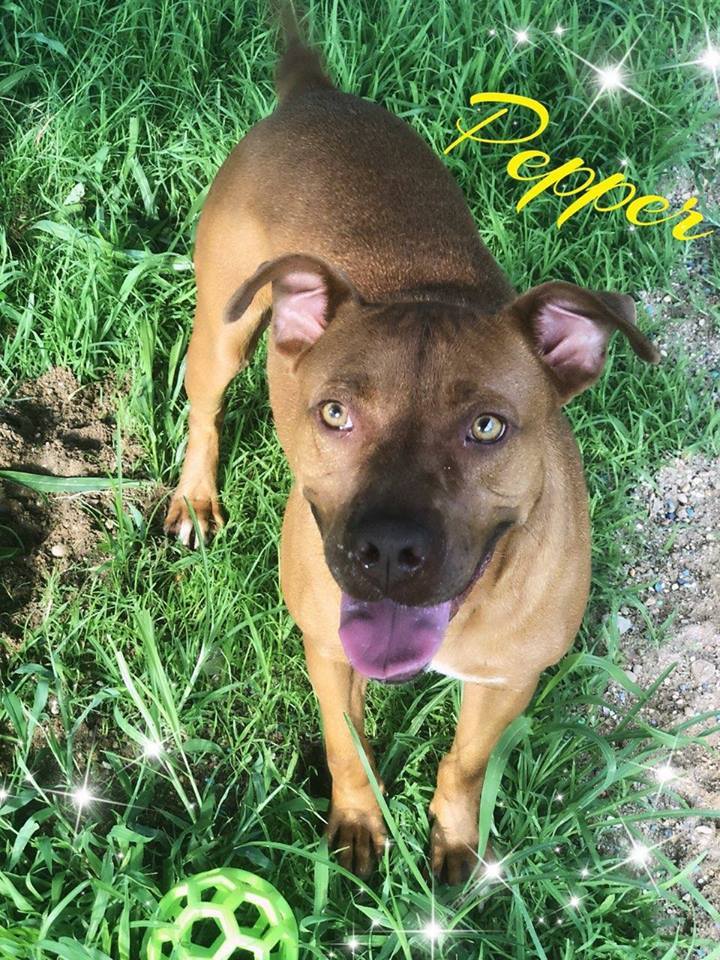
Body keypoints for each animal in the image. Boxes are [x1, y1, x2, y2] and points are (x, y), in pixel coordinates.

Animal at [166, 9, 660, 884]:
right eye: (334, 414)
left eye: (488, 426)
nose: (388, 550)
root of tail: (314, 96)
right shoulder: (327, 648)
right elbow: (346, 747)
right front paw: (360, 826)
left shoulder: (508, 677)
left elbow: (464, 763)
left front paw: (458, 846)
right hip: (222, 329)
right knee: (205, 409)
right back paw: (194, 496)